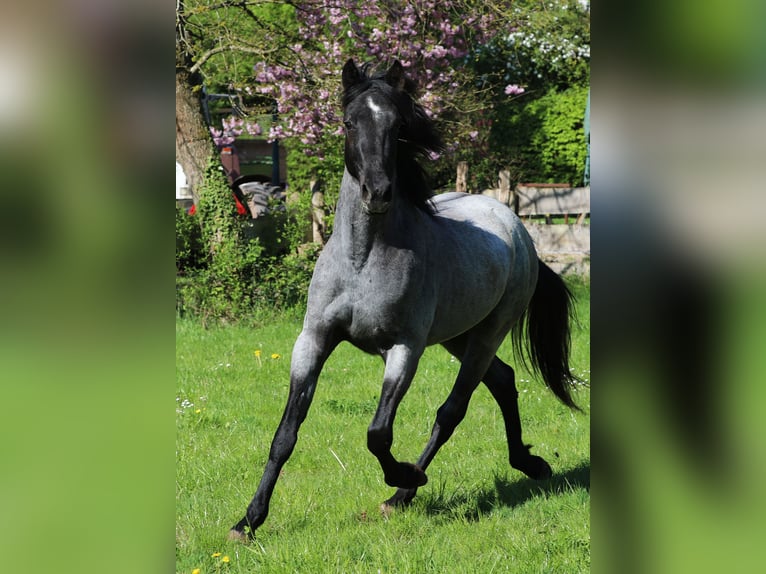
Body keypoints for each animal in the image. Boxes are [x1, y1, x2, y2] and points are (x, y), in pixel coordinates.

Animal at [230, 59, 580, 540]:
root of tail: (515, 225)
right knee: (504, 381)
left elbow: (378, 433)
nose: (377, 193)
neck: (361, 262)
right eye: (348, 122)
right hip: (458, 335)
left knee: (453, 410)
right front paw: (248, 521)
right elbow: (286, 433)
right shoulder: (313, 340)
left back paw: (404, 492)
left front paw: (404, 474)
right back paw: (530, 464)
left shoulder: (404, 349)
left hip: (488, 333)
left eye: (398, 127)